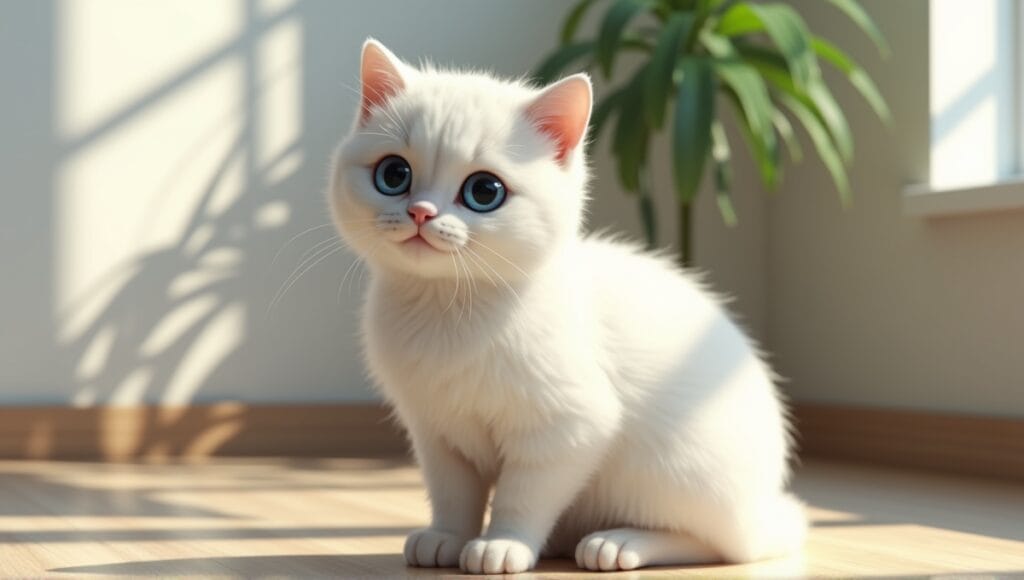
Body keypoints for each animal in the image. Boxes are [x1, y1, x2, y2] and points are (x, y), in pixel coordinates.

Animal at [329, 38, 806, 573]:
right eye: (394, 174)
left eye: (484, 191)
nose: (420, 212)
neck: (446, 308)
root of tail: (764, 505)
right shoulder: (438, 434)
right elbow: (453, 494)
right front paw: (447, 537)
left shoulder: (569, 427)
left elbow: (522, 494)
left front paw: (503, 543)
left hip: (677, 469)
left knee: (724, 544)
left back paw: (619, 543)